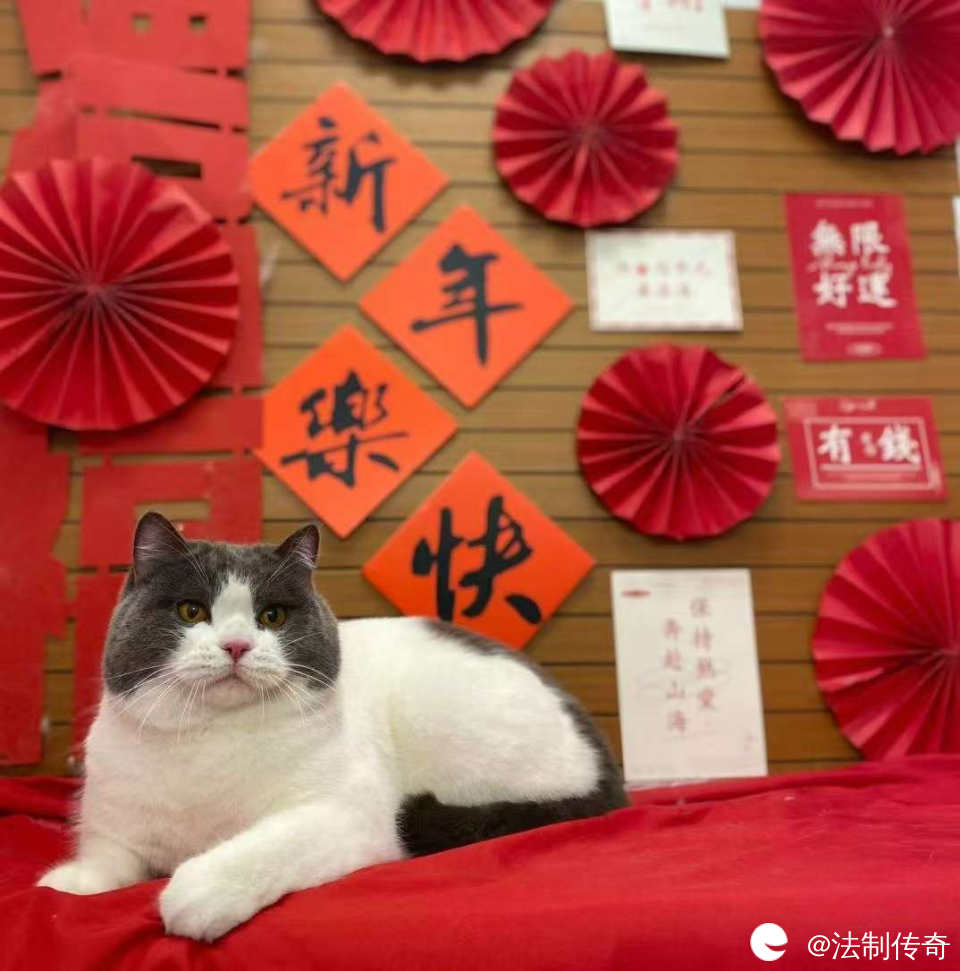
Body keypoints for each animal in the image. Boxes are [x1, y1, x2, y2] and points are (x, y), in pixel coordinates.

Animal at [37, 512, 628, 941]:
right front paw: (70, 883)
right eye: (190, 611)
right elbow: (105, 863)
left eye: (272, 617)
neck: (208, 744)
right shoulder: (115, 827)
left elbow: (265, 848)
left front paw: (197, 894)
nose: (236, 645)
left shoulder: (346, 818)